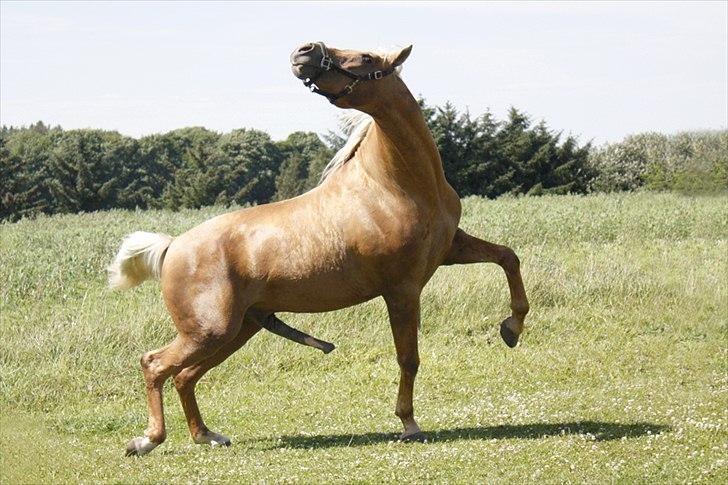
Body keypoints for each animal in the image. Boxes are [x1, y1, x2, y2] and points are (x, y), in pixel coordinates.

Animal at [108, 40, 528, 454]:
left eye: (366, 57)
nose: (303, 52)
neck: (396, 186)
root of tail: (172, 246)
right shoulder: (402, 288)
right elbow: (408, 358)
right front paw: (408, 424)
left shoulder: (450, 250)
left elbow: (508, 257)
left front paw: (511, 329)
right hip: (209, 331)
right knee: (155, 364)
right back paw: (147, 439)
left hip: (237, 330)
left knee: (185, 376)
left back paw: (207, 435)